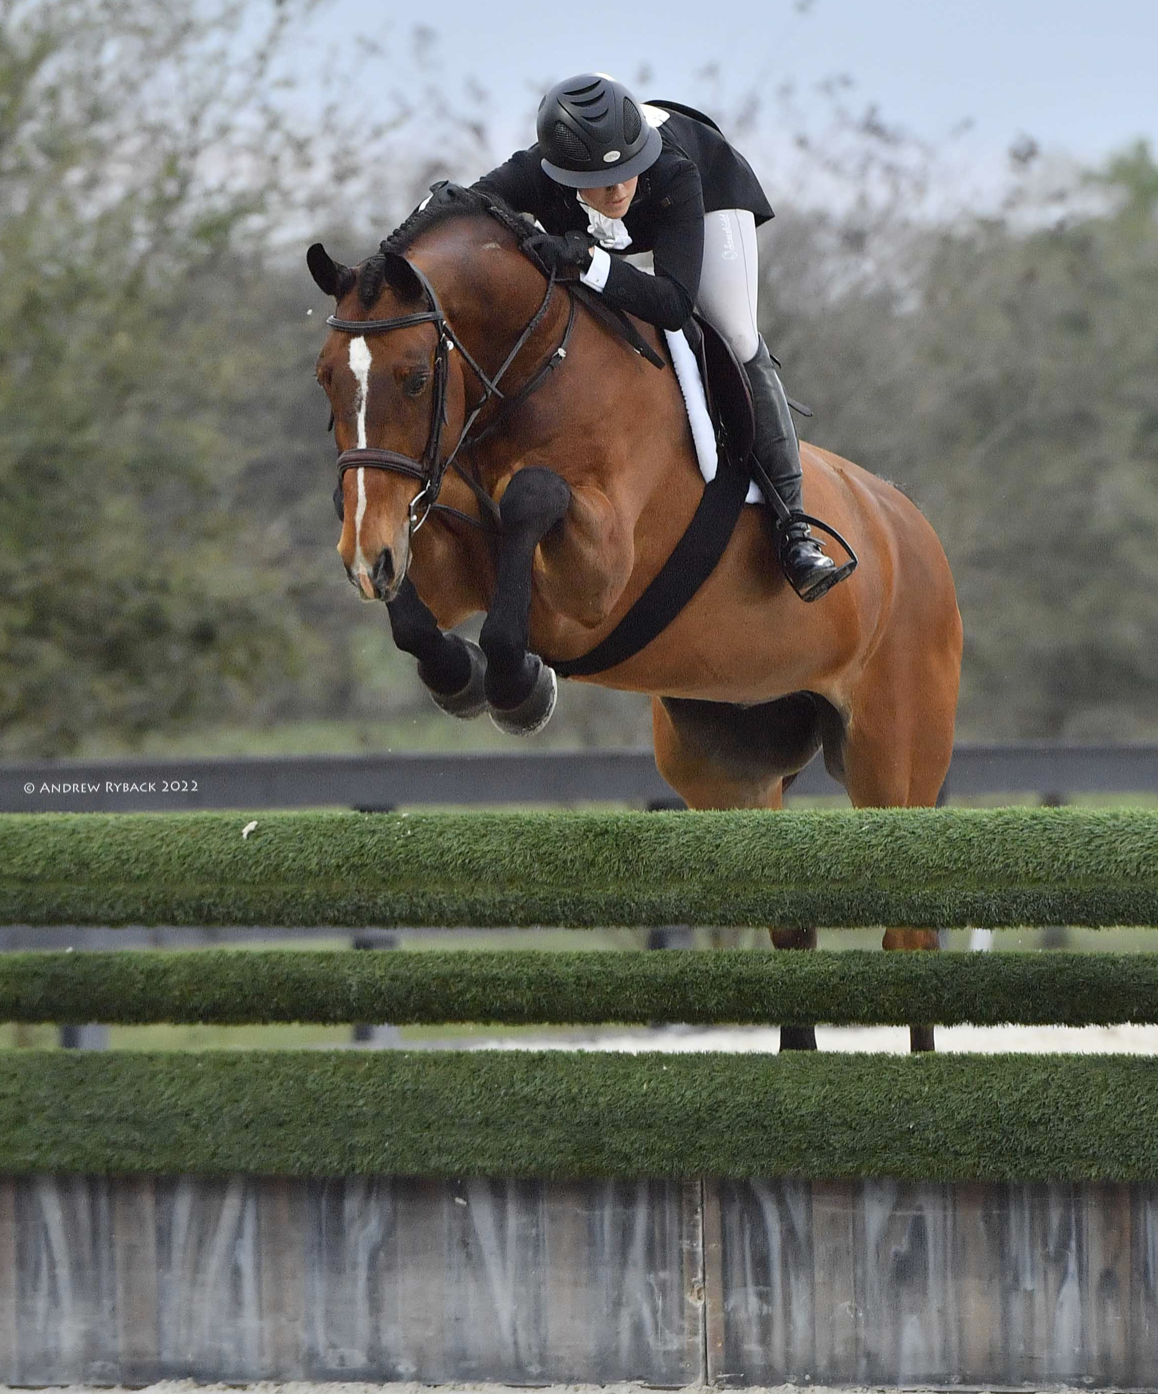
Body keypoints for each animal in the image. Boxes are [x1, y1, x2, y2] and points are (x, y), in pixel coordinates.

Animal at [305, 188, 958, 1053]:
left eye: (414, 380)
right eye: (325, 380)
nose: (361, 557)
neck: (534, 369)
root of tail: (912, 526)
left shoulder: (597, 577)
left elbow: (532, 498)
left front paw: (518, 683)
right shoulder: (449, 558)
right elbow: (420, 606)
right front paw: (468, 676)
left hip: (893, 762)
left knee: (908, 931)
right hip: (727, 770)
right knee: (791, 926)